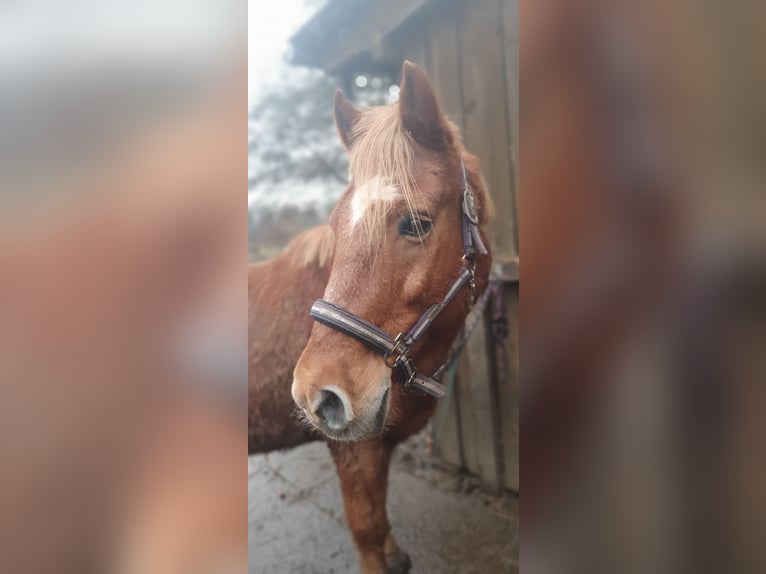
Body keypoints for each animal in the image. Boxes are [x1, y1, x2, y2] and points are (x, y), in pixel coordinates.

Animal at [249, 60, 496, 572]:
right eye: (335, 224)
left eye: (416, 223)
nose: (316, 395)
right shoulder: (354, 451)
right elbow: (367, 528)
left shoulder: (376, 447)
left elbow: (381, 518)